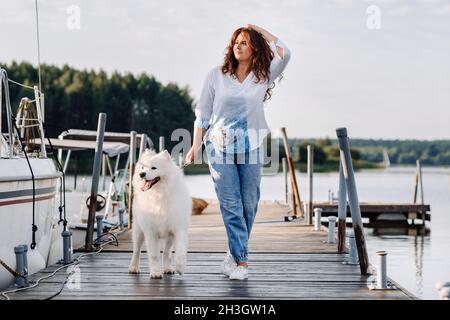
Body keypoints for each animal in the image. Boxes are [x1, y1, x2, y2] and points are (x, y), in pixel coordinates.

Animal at [128, 149, 192, 278]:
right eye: (143, 167)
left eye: (154, 168)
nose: (141, 174)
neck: (159, 195)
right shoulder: (150, 232)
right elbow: (154, 255)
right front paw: (156, 272)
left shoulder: (178, 229)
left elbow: (180, 250)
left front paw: (180, 267)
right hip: (138, 231)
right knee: (136, 250)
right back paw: (133, 267)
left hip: (169, 237)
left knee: (167, 252)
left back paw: (168, 268)